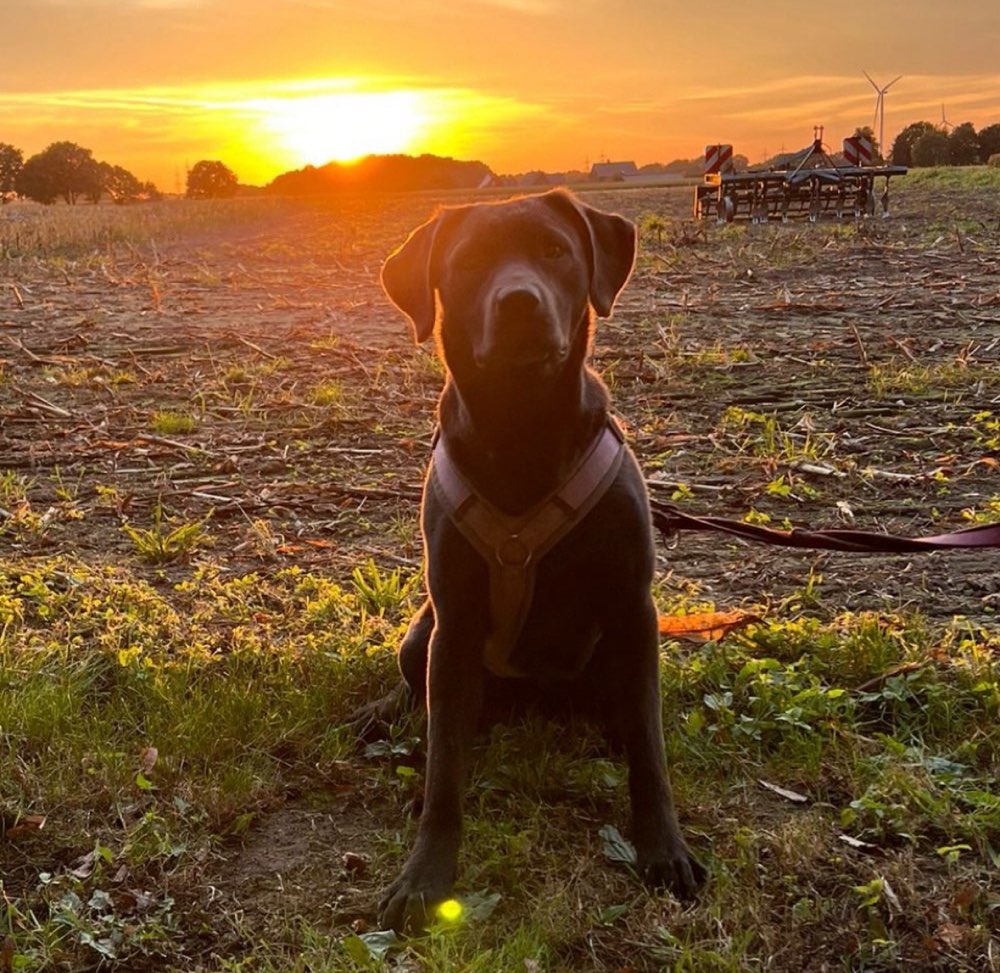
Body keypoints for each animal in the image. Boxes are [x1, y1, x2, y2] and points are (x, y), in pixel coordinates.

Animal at [368, 188, 704, 928]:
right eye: (468, 261)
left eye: (555, 250)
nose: (519, 303)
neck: (523, 430)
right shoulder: (454, 623)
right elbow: (444, 770)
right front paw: (425, 873)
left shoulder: (632, 609)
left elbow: (652, 751)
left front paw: (664, 848)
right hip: (421, 633)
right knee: (426, 703)